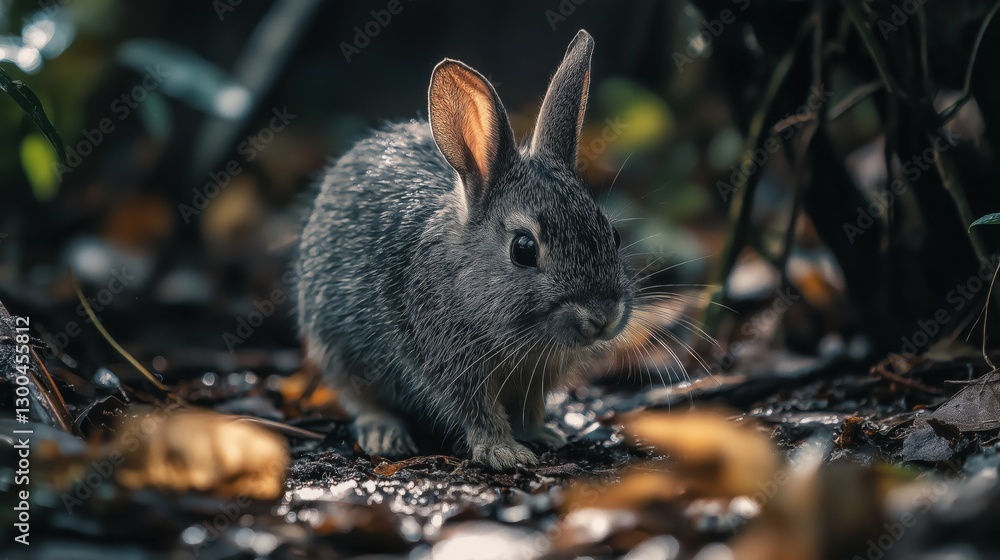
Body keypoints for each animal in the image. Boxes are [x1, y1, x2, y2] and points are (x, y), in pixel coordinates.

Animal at [295, 29, 634, 470]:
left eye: (614, 235)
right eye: (523, 249)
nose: (603, 317)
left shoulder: (537, 375)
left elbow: (530, 407)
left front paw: (542, 434)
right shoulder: (450, 362)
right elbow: (477, 410)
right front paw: (504, 452)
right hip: (338, 348)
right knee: (361, 400)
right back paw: (385, 435)